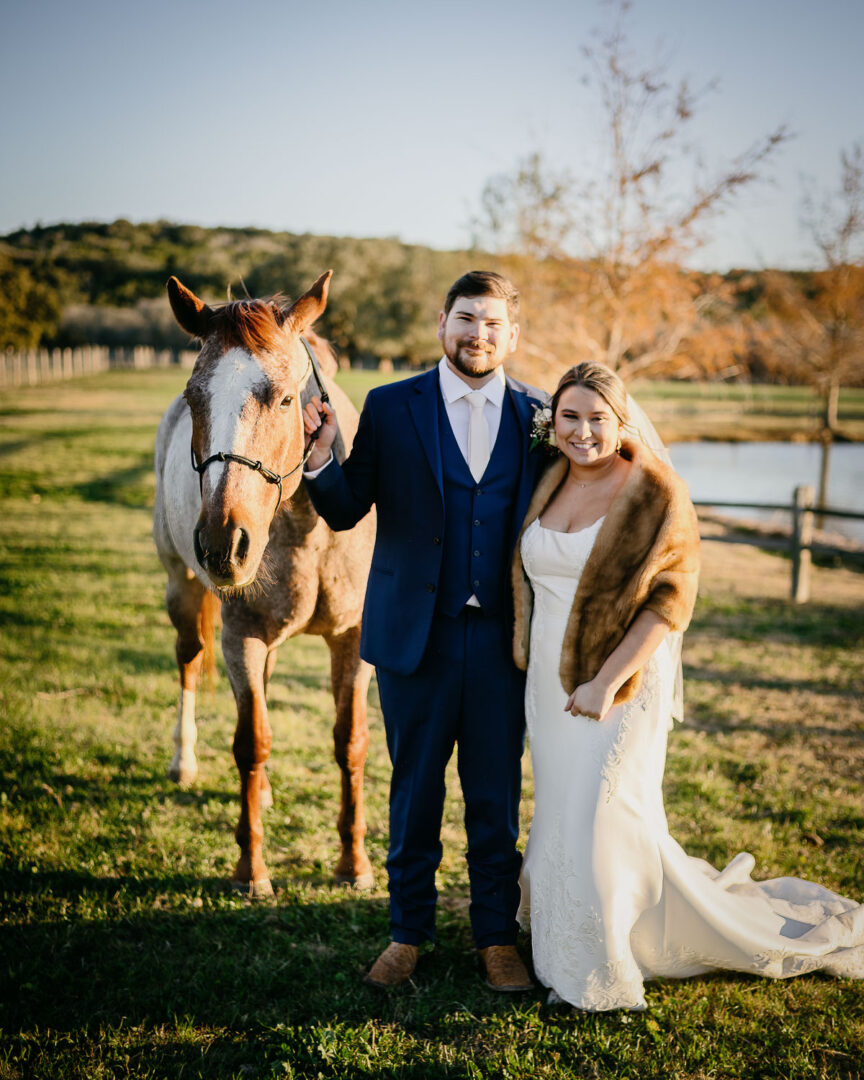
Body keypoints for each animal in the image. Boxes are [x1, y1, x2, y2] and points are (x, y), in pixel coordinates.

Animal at [154, 270, 373, 894]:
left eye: (284, 398)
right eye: (194, 398)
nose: (223, 546)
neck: (309, 529)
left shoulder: (354, 640)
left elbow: (349, 741)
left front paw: (354, 863)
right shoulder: (240, 637)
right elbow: (251, 741)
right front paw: (251, 869)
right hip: (182, 591)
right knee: (188, 661)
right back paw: (184, 761)